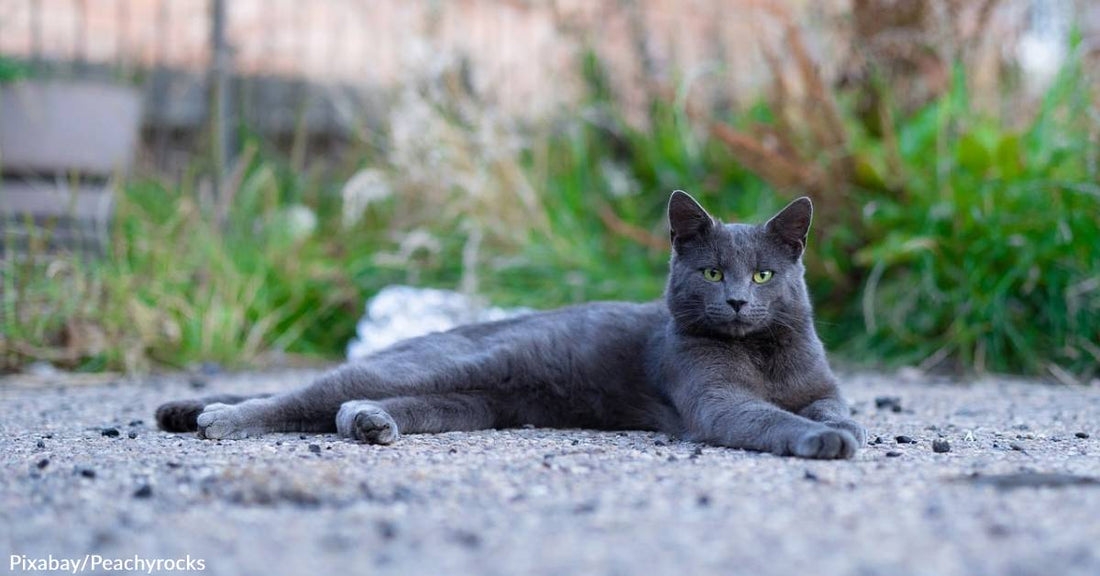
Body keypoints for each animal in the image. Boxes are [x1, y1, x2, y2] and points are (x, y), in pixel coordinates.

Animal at [157, 192, 866, 459]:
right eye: (715, 273)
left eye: (765, 276)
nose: (741, 302)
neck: (762, 356)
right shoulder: (714, 398)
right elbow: (766, 418)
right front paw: (823, 440)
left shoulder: (820, 382)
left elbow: (834, 403)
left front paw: (842, 426)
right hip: (449, 364)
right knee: (313, 392)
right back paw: (217, 417)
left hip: (474, 400)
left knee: (345, 404)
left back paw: (368, 424)